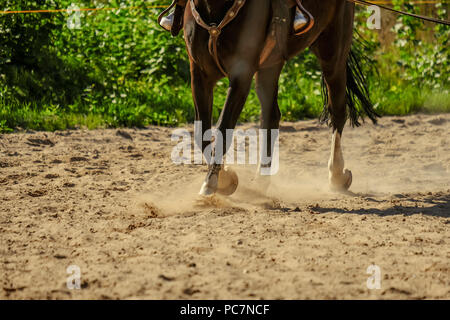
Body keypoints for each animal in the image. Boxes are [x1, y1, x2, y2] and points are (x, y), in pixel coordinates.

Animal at [181, 0, 378, 196]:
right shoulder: (199, 74)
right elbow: (201, 132)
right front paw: (224, 177)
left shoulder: (241, 73)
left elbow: (223, 127)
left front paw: (216, 181)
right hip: (271, 64)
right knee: (271, 116)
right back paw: (261, 179)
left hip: (333, 54)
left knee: (337, 111)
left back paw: (337, 175)